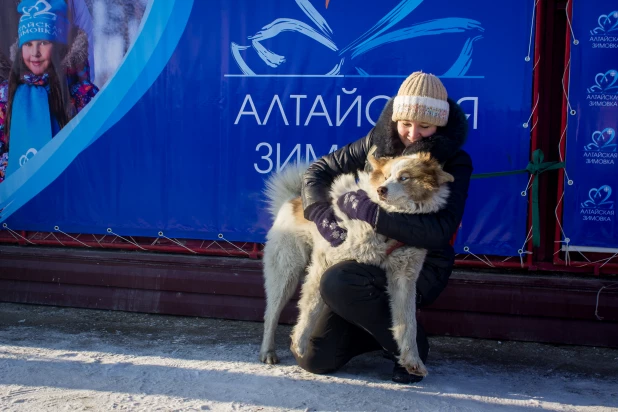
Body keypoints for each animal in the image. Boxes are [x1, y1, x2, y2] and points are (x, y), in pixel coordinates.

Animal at [258, 151, 450, 376]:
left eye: (404, 177)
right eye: (386, 176)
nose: (381, 189)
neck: (390, 224)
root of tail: (292, 201)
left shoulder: (404, 279)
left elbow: (408, 324)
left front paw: (412, 360)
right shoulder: (324, 261)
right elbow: (310, 308)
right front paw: (300, 341)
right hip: (285, 274)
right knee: (271, 314)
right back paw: (268, 351)